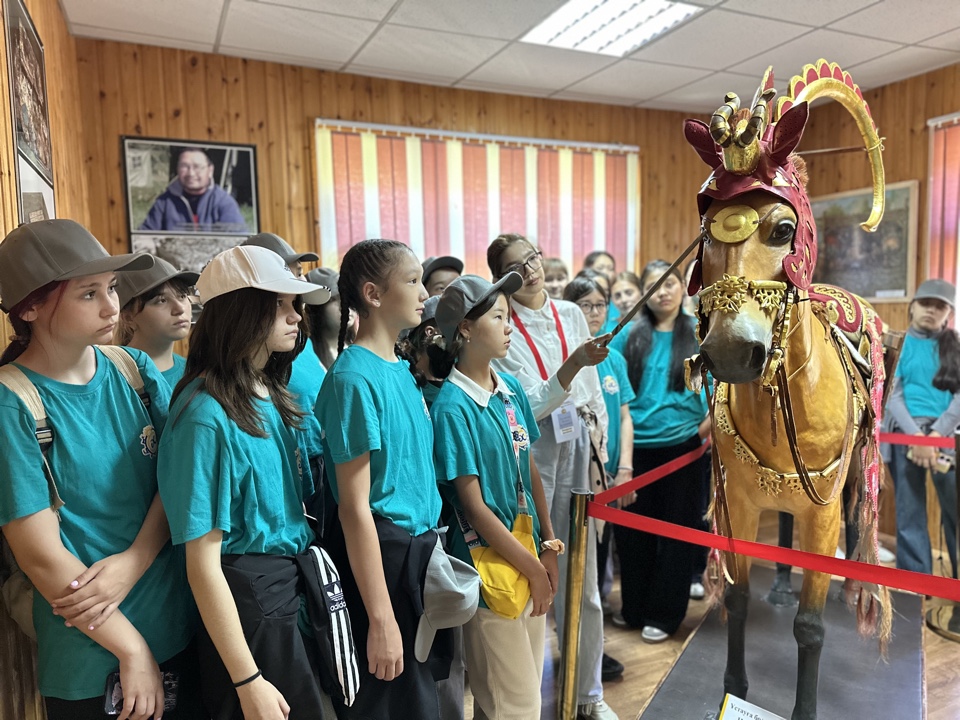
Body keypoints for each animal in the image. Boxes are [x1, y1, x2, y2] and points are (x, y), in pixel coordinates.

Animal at [681, 61, 893, 720]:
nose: (731, 350)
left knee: (855, 515)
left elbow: (811, 626)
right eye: (706, 233)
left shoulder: (821, 515)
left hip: (852, 474)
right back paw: (780, 584)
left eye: (781, 229)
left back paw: (853, 583)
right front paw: (735, 687)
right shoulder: (741, 501)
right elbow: (739, 598)